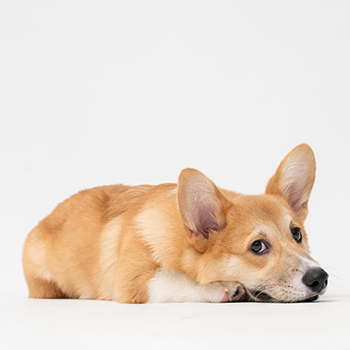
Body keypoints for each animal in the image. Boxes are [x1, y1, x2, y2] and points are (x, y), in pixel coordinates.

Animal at [22, 144, 328, 302]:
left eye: (296, 234)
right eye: (258, 246)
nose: (320, 278)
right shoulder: (134, 283)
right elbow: (174, 279)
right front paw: (222, 287)